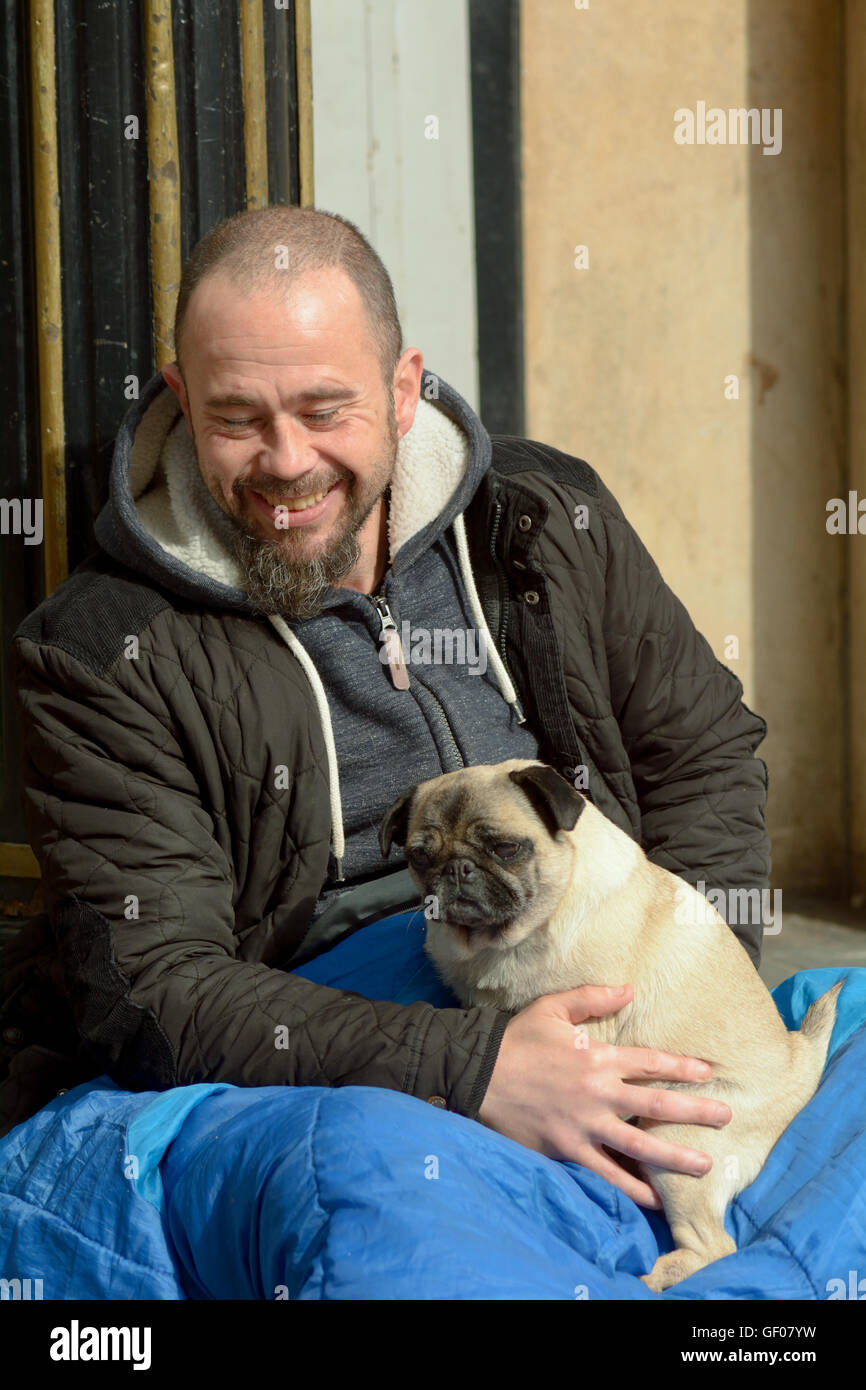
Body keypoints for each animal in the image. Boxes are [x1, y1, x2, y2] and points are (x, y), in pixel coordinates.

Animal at [378, 761, 839, 1289]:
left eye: (505, 848)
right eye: (419, 857)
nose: (456, 868)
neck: (507, 943)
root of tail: (799, 1064)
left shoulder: (588, 1025)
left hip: (675, 1131)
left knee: (715, 1248)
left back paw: (653, 1279)